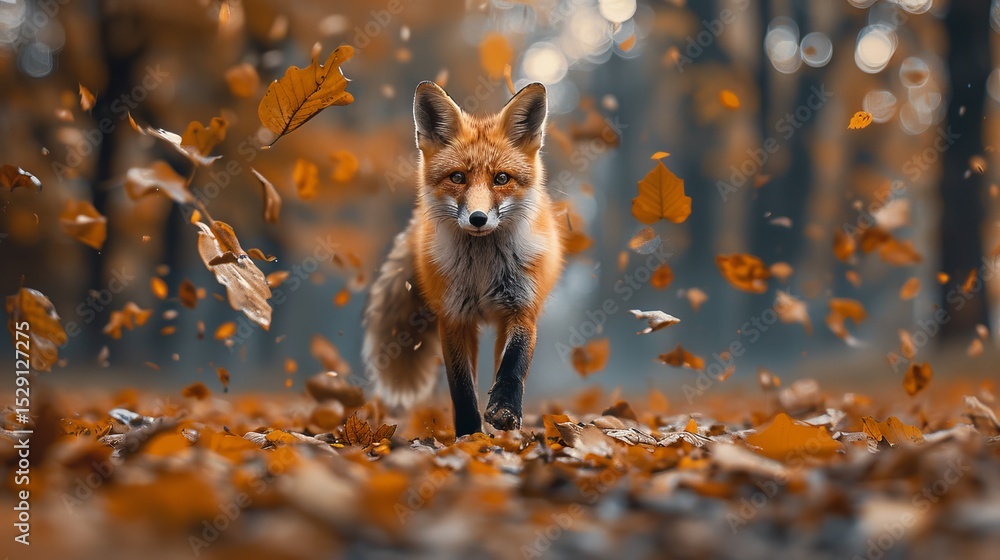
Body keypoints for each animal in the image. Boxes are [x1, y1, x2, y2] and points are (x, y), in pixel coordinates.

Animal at [362, 81, 564, 436]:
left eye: (501, 178)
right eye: (457, 178)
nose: (478, 218)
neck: (482, 270)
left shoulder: (522, 308)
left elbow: (514, 365)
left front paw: (504, 411)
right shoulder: (454, 318)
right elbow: (462, 387)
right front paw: (470, 435)